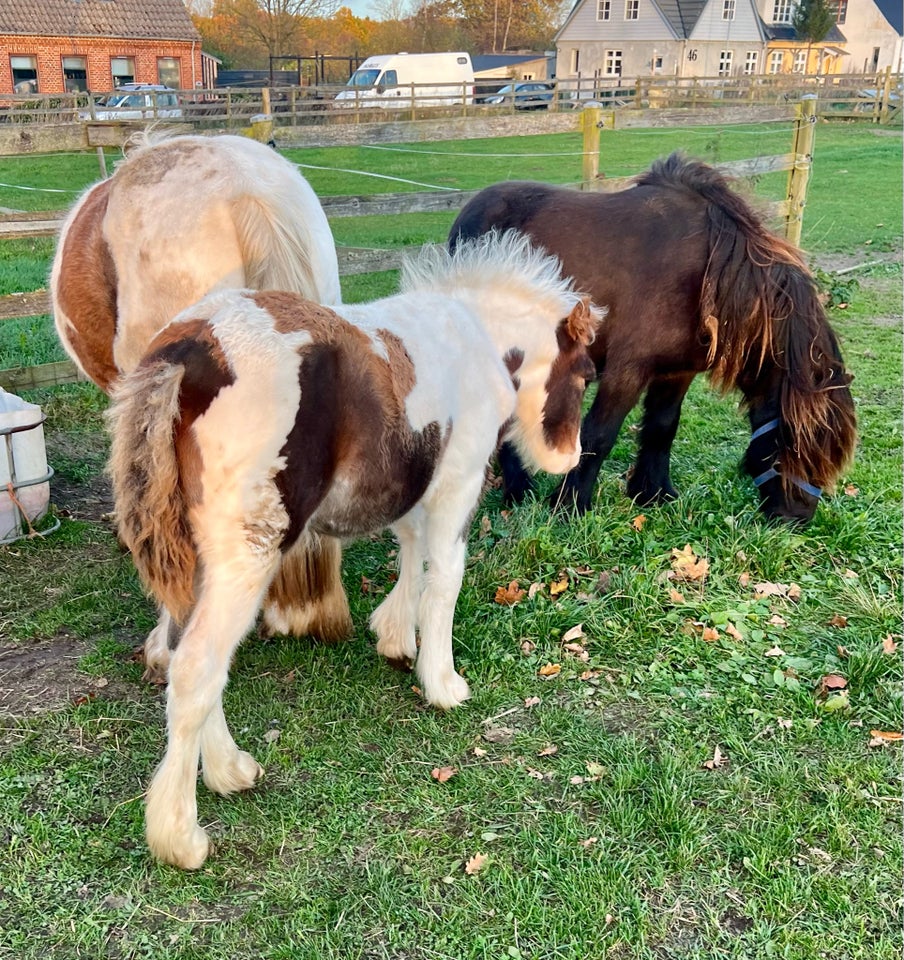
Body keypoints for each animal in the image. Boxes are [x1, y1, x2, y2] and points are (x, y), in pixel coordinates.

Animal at [107, 232, 600, 872]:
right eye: (586, 374)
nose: (571, 458)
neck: (475, 335)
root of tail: (188, 353)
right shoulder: (459, 480)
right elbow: (445, 577)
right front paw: (443, 683)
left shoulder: (414, 479)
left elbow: (411, 552)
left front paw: (395, 638)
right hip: (248, 553)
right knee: (196, 667)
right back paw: (181, 835)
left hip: (195, 557)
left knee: (176, 653)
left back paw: (230, 769)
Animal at [448, 153, 860, 520]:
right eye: (797, 444)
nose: (797, 518)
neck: (707, 275)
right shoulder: (626, 371)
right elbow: (599, 435)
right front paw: (569, 506)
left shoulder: (677, 372)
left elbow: (662, 429)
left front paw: (653, 493)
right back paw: (517, 490)